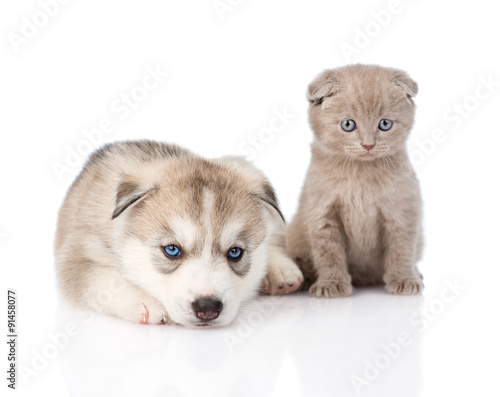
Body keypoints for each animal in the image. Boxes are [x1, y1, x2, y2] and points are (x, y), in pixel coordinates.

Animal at [56, 141, 302, 326]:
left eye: (235, 252)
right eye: (172, 250)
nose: (207, 307)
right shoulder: (77, 254)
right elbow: (104, 280)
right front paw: (145, 302)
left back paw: (280, 270)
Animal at [288, 63, 424, 296]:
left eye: (385, 124)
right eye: (348, 125)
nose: (368, 145)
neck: (360, 175)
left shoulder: (401, 209)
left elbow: (401, 248)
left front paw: (404, 279)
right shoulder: (322, 212)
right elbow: (329, 252)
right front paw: (332, 284)